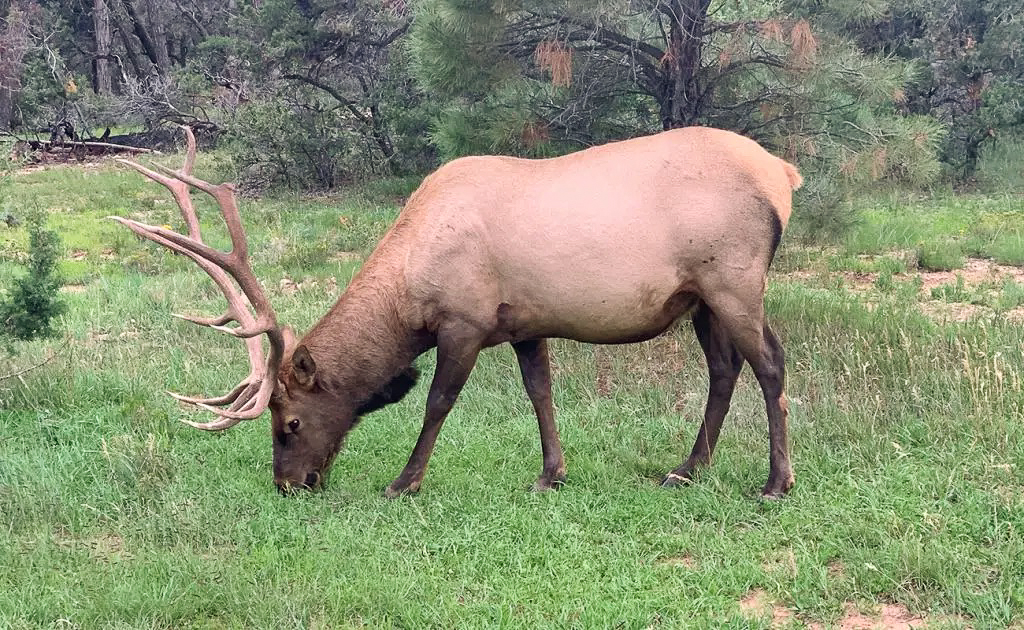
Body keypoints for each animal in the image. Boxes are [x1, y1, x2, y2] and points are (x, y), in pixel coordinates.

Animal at [112, 125, 802, 499]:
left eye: (290, 423)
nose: (290, 484)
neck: (408, 295)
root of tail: (784, 175)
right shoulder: (525, 322)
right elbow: (539, 391)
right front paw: (551, 474)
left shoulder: (464, 322)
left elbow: (437, 402)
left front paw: (403, 481)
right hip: (701, 298)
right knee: (724, 370)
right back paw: (687, 469)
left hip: (735, 279)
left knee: (771, 363)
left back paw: (775, 482)